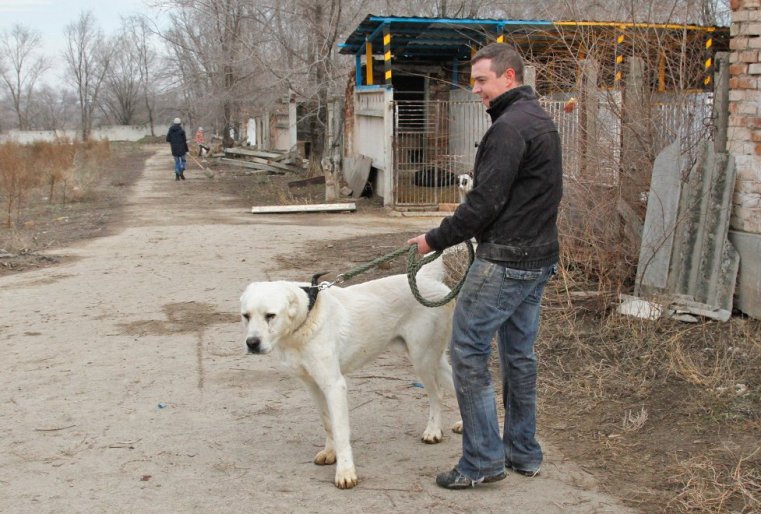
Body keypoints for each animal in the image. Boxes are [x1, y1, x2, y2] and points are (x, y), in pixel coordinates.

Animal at [240, 260, 460, 488]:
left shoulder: (334, 385)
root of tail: (427, 278)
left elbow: (340, 431)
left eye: (270, 316)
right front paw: (330, 452)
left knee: (437, 394)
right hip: (433, 360)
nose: (252, 344)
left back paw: (433, 431)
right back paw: (462, 425)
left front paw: (345, 472)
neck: (307, 317)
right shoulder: (313, 385)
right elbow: (328, 422)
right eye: (246, 316)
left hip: (422, 359)